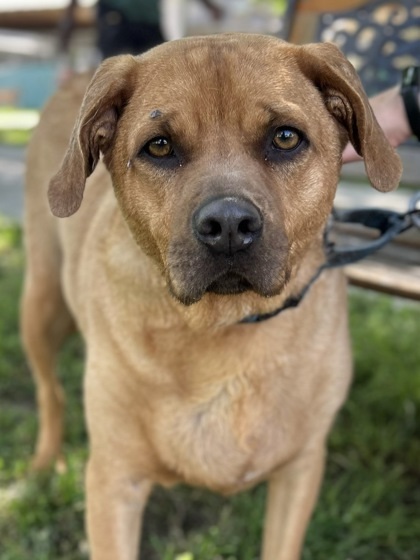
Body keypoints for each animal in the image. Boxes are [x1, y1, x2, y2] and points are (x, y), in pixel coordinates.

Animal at [21, 32, 402, 556]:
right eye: (160, 146)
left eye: (286, 138)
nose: (228, 226)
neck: (225, 324)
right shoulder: (114, 482)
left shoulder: (300, 470)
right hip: (41, 305)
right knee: (49, 392)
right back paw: (44, 463)